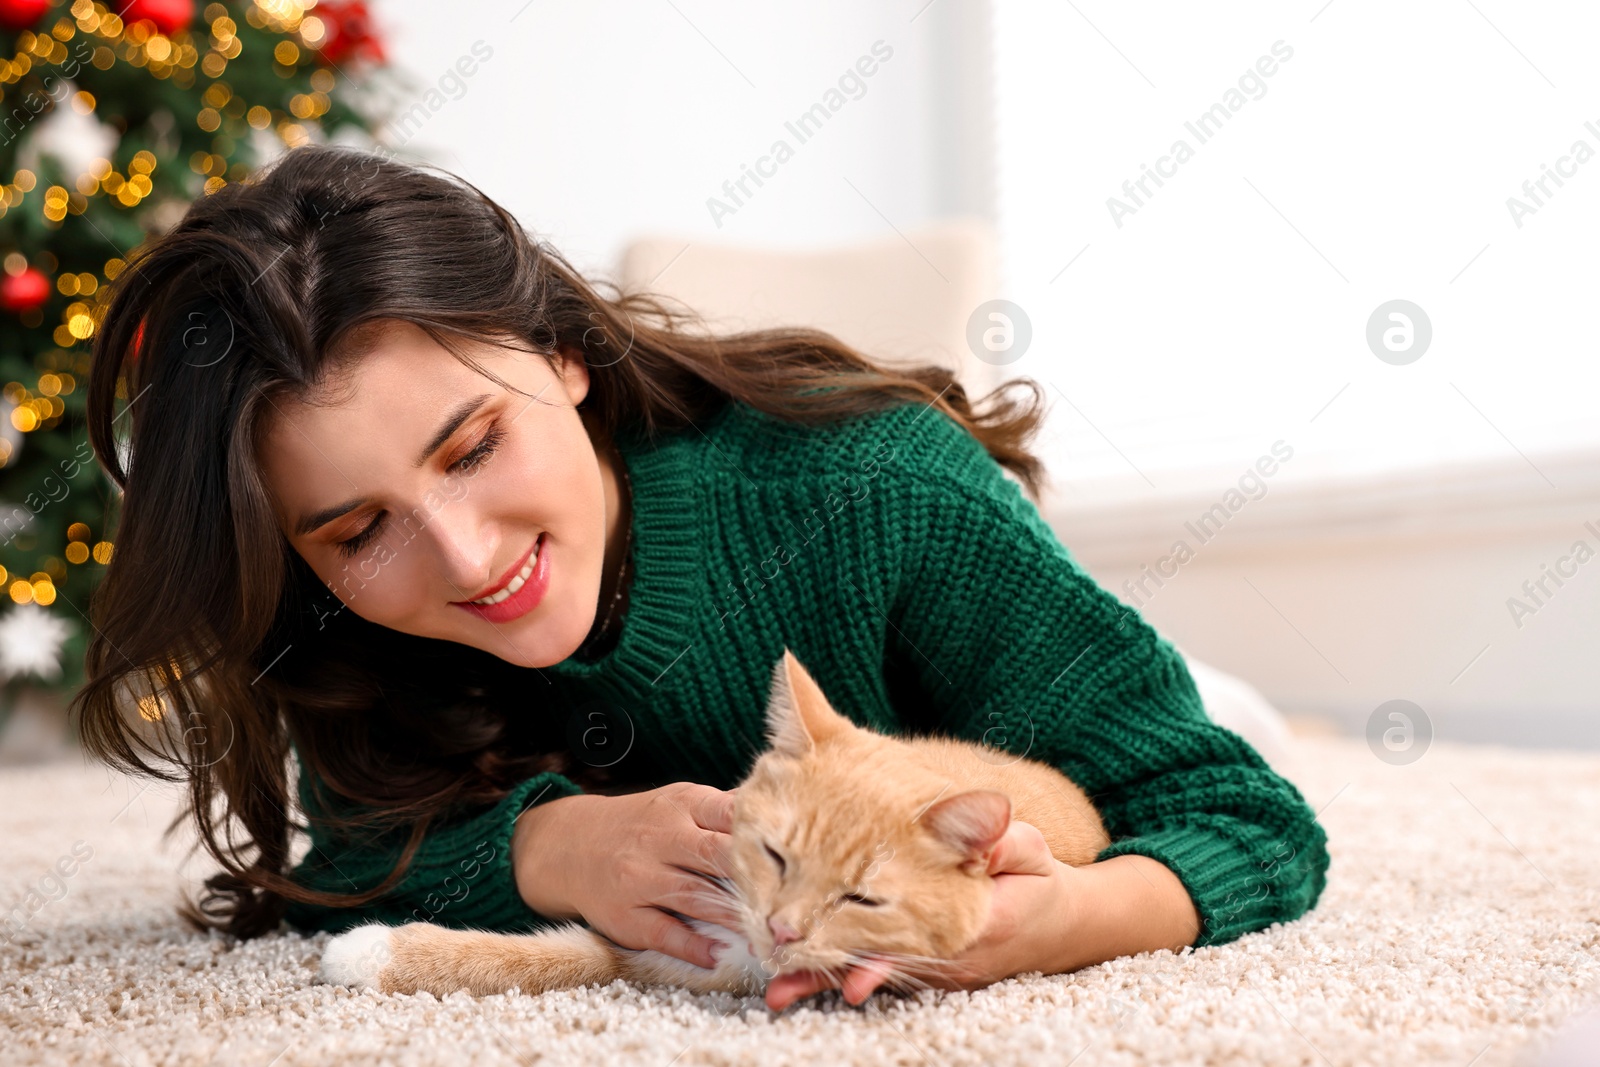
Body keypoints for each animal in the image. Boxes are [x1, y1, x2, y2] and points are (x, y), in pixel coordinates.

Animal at [316, 646, 1107, 1004]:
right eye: (775, 856)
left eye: (861, 899)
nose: (782, 930)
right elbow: (542, 956)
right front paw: (366, 949)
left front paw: (360, 951)